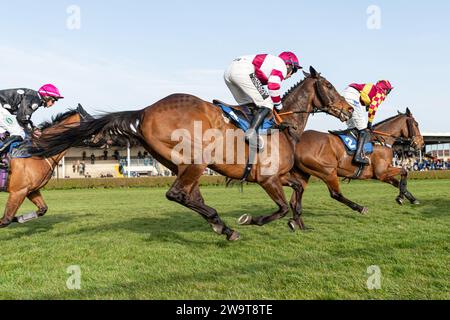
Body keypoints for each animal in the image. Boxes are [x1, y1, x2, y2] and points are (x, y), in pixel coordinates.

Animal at [30, 66, 356, 240]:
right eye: (329, 86)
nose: (349, 109)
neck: (282, 125)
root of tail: (144, 111)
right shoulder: (267, 179)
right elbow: (281, 207)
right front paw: (252, 219)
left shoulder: (280, 175)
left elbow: (298, 189)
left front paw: (299, 221)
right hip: (196, 161)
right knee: (177, 194)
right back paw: (223, 223)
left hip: (183, 165)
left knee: (189, 195)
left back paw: (220, 224)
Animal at [286, 107, 424, 230]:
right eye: (416, 124)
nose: (421, 144)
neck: (381, 141)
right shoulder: (382, 172)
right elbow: (405, 171)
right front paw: (400, 197)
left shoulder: (383, 174)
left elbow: (398, 182)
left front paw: (411, 199)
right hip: (328, 172)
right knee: (335, 194)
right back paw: (360, 208)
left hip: (303, 173)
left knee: (295, 198)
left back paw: (297, 223)